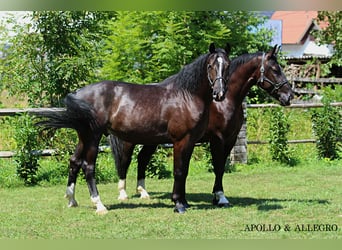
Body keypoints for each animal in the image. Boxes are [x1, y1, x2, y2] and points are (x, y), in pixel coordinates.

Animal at [36, 43, 230, 215]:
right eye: (211, 66)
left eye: (227, 66)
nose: (219, 93)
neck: (185, 96)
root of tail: (77, 94)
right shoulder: (181, 140)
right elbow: (179, 171)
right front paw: (178, 204)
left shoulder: (190, 142)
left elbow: (185, 171)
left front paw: (183, 201)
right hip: (93, 137)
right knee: (88, 166)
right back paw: (99, 205)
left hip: (84, 136)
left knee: (74, 161)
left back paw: (71, 200)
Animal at [109, 44, 294, 207]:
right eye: (275, 69)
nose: (290, 96)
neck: (224, 102)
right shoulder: (217, 139)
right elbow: (218, 167)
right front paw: (220, 197)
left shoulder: (230, 139)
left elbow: (220, 168)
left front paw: (216, 197)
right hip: (129, 141)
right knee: (125, 161)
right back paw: (123, 194)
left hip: (151, 140)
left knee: (142, 159)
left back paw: (143, 193)